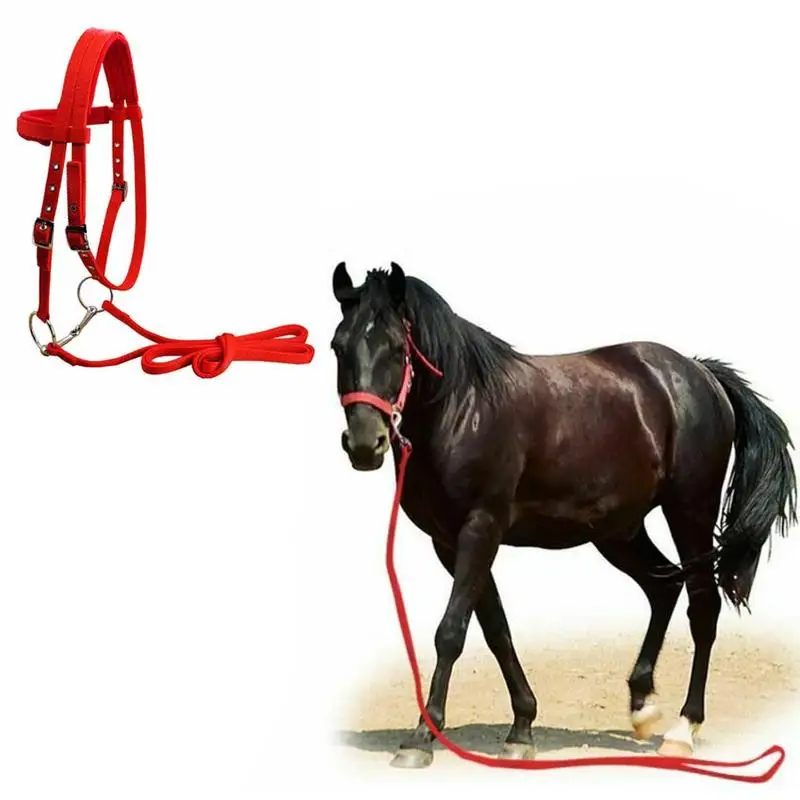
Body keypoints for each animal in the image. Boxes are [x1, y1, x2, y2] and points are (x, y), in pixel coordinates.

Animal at [330, 261, 797, 768]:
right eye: (338, 345)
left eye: (398, 347)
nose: (364, 443)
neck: (463, 408)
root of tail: (700, 373)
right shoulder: (450, 543)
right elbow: (496, 629)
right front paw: (521, 728)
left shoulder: (480, 529)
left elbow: (451, 630)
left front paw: (420, 738)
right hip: (617, 531)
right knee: (663, 587)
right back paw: (641, 706)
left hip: (690, 510)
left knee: (702, 604)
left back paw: (682, 729)